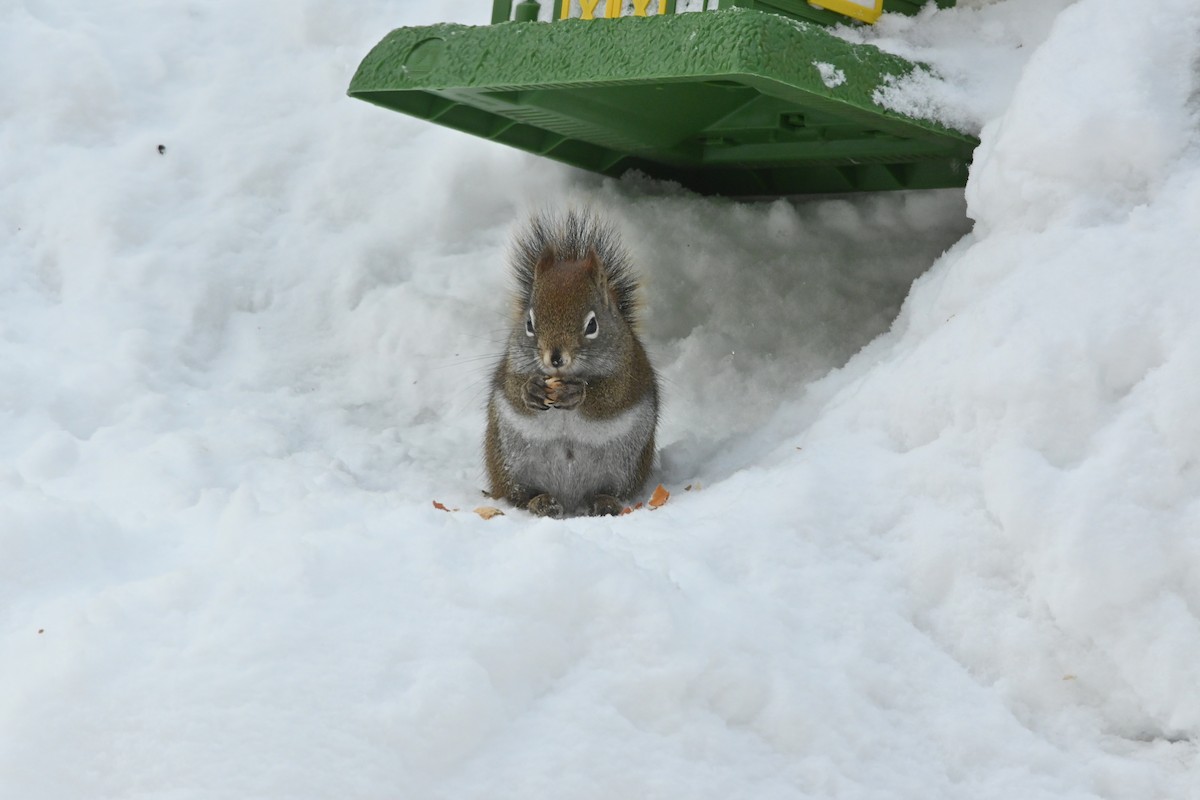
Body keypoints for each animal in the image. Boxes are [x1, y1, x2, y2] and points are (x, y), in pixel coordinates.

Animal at [485, 210, 659, 518]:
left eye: (592, 325)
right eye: (529, 323)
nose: (555, 357)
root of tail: (569, 498)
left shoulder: (627, 371)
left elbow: (611, 398)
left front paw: (578, 393)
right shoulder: (511, 366)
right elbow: (514, 390)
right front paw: (530, 390)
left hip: (626, 466)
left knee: (611, 490)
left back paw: (604, 502)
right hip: (508, 462)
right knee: (518, 495)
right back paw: (540, 501)